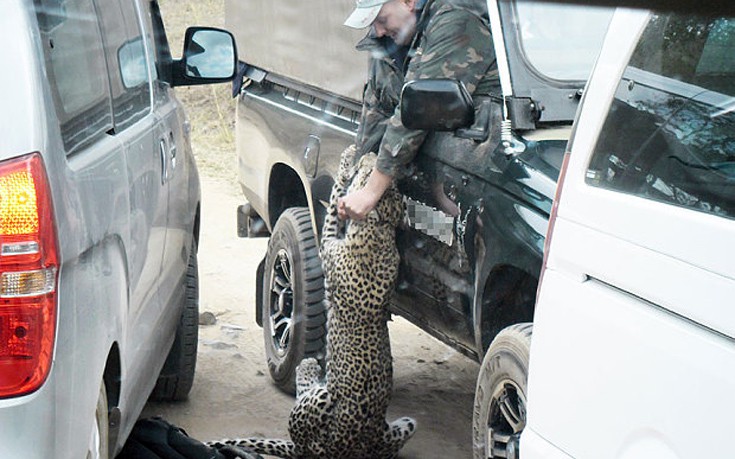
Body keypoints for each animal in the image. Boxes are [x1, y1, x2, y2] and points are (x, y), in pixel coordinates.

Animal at [208, 147, 414, 459]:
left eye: (368, 175)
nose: (372, 155)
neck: (380, 228)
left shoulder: (326, 242)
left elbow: (334, 199)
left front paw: (346, 160)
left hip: (322, 406)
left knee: (303, 410)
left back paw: (308, 367)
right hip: (405, 425)